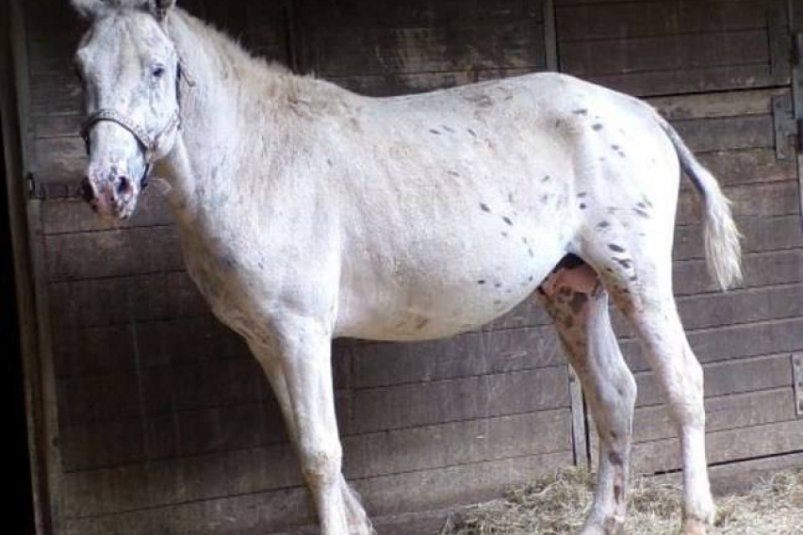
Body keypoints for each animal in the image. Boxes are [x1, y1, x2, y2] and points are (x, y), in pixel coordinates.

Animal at [70, 1, 742, 534]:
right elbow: (307, 451)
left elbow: (321, 455)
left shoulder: (300, 333)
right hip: (574, 289)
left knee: (683, 382)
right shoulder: (265, 341)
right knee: (614, 394)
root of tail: (642, 112)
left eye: (158, 69)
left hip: (637, 280)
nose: (108, 187)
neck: (258, 159)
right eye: (81, 71)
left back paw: (695, 518)